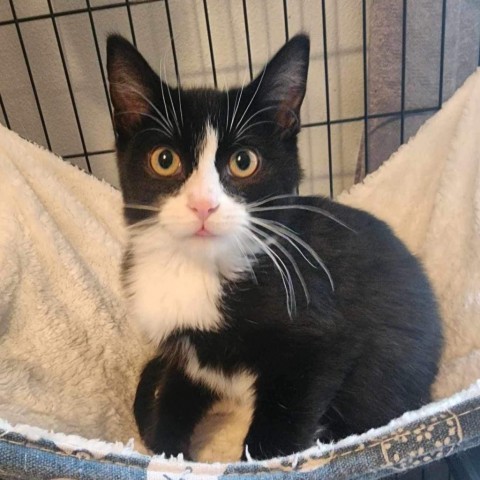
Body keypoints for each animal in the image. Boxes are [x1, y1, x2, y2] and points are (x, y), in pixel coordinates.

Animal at [107, 33, 444, 462]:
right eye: (164, 160)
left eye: (244, 161)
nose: (203, 205)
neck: (200, 268)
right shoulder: (185, 354)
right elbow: (169, 404)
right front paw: (168, 452)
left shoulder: (319, 338)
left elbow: (279, 428)